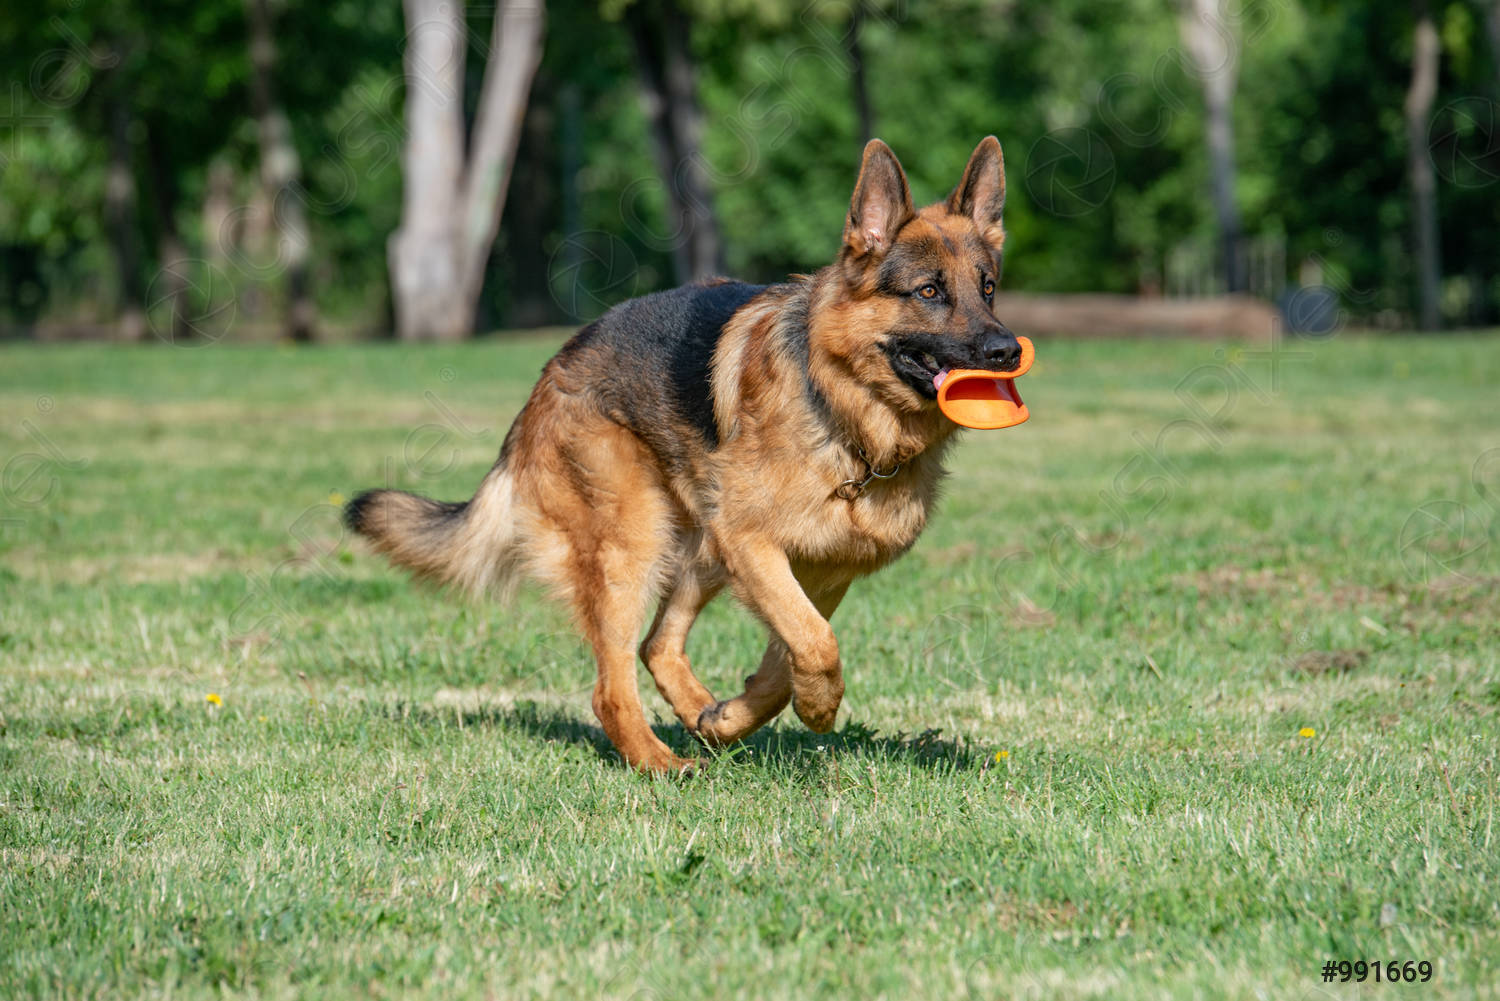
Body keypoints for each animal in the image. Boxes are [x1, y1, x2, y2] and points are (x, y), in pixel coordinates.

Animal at [343, 138, 1020, 774]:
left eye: (987, 288)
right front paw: (819, 707)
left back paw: (706, 719)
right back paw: (659, 764)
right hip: (634, 545)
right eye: (928, 291)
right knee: (612, 686)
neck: (847, 422)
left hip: (700, 547)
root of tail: (554, 366)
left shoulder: (823, 570)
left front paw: (746, 713)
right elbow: (815, 644)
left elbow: (788, 660)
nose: (1007, 351)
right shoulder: (753, 543)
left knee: (658, 646)